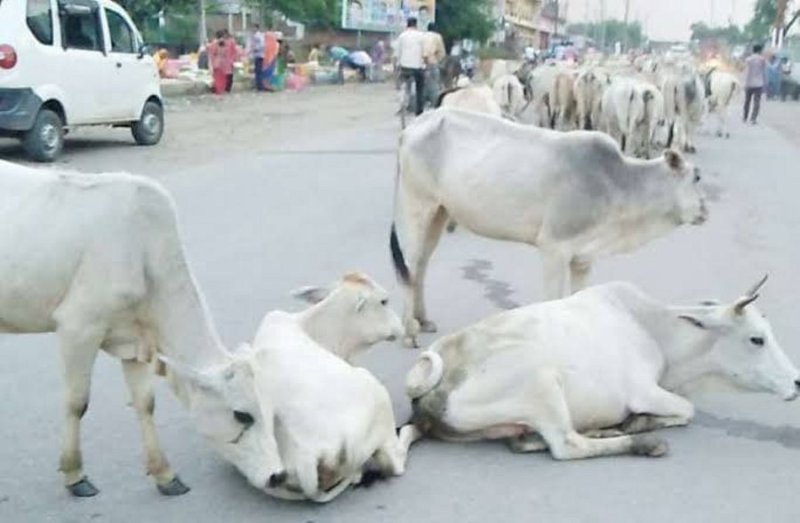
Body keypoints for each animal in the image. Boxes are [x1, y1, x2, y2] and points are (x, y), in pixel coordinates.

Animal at [0, 160, 285, 496]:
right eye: (242, 415)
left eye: (270, 410)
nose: (278, 475)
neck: (143, 250)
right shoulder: (78, 327)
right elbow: (76, 402)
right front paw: (75, 475)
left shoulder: (134, 343)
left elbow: (145, 403)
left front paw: (165, 474)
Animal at [389, 109, 708, 346]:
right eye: (697, 178)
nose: (705, 210)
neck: (618, 184)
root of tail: (413, 126)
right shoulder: (554, 248)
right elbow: (554, 299)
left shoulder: (583, 258)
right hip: (418, 205)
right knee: (410, 265)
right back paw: (408, 331)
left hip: (440, 212)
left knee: (422, 265)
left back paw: (422, 319)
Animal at [403, 278, 800, 460]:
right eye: (757, 339)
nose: (797, 382)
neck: (655, 330)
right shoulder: (644, 390)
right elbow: (688, 410)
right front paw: (640, 423)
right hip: (541, 383)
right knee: (566, 445)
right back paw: (642, 443)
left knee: (524, 440)